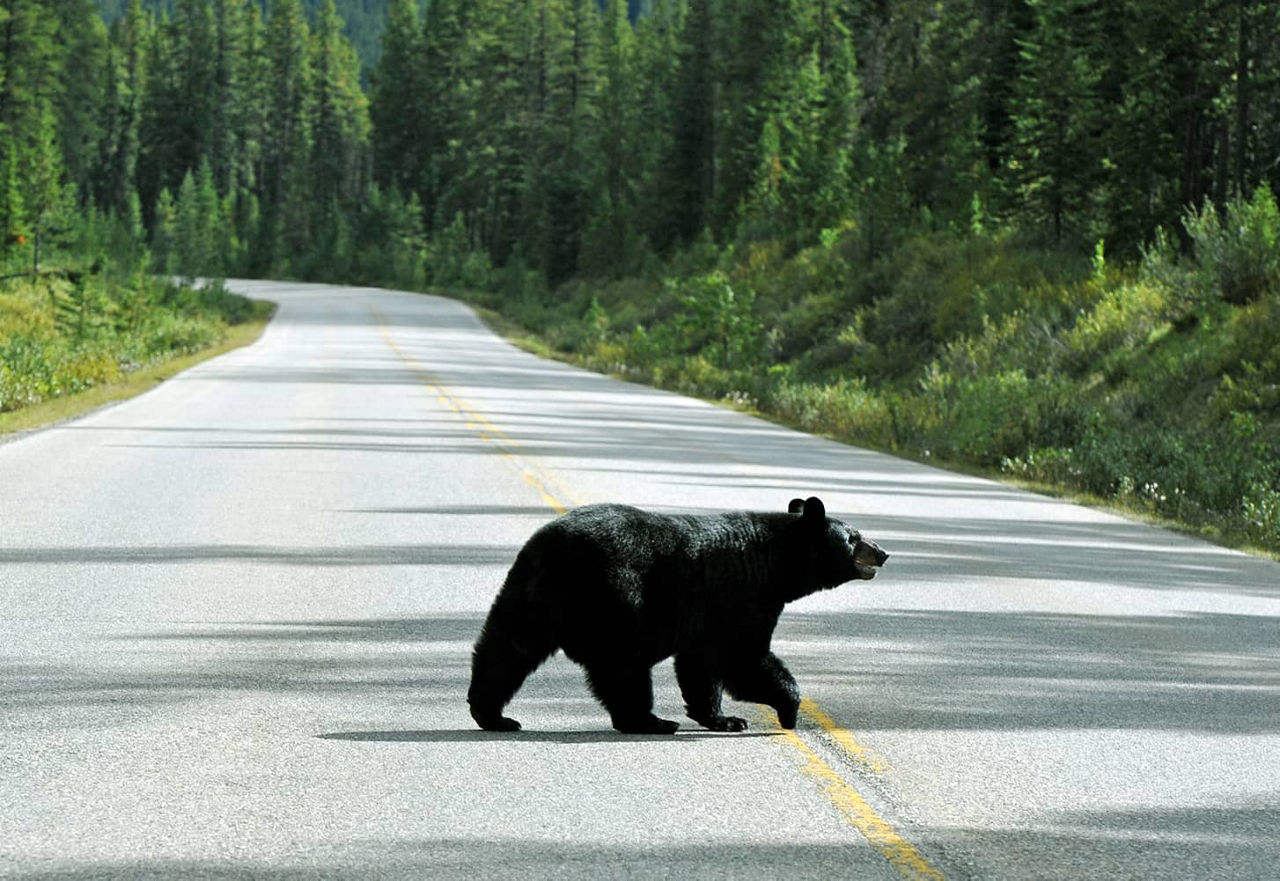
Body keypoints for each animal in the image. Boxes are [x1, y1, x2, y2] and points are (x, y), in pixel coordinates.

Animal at [465, 496, 885, 737]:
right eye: (853, 537)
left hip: (530, 597)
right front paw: (788, 710)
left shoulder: (710, 618)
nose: (882, 552)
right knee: (623, 666)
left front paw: (724, 719)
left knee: (507, 650)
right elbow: (743, 658)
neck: (775, 563)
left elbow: (702, 666)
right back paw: (650, 722)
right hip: (617, 598)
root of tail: (553, 548)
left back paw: (493, 715)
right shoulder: (744, 599)